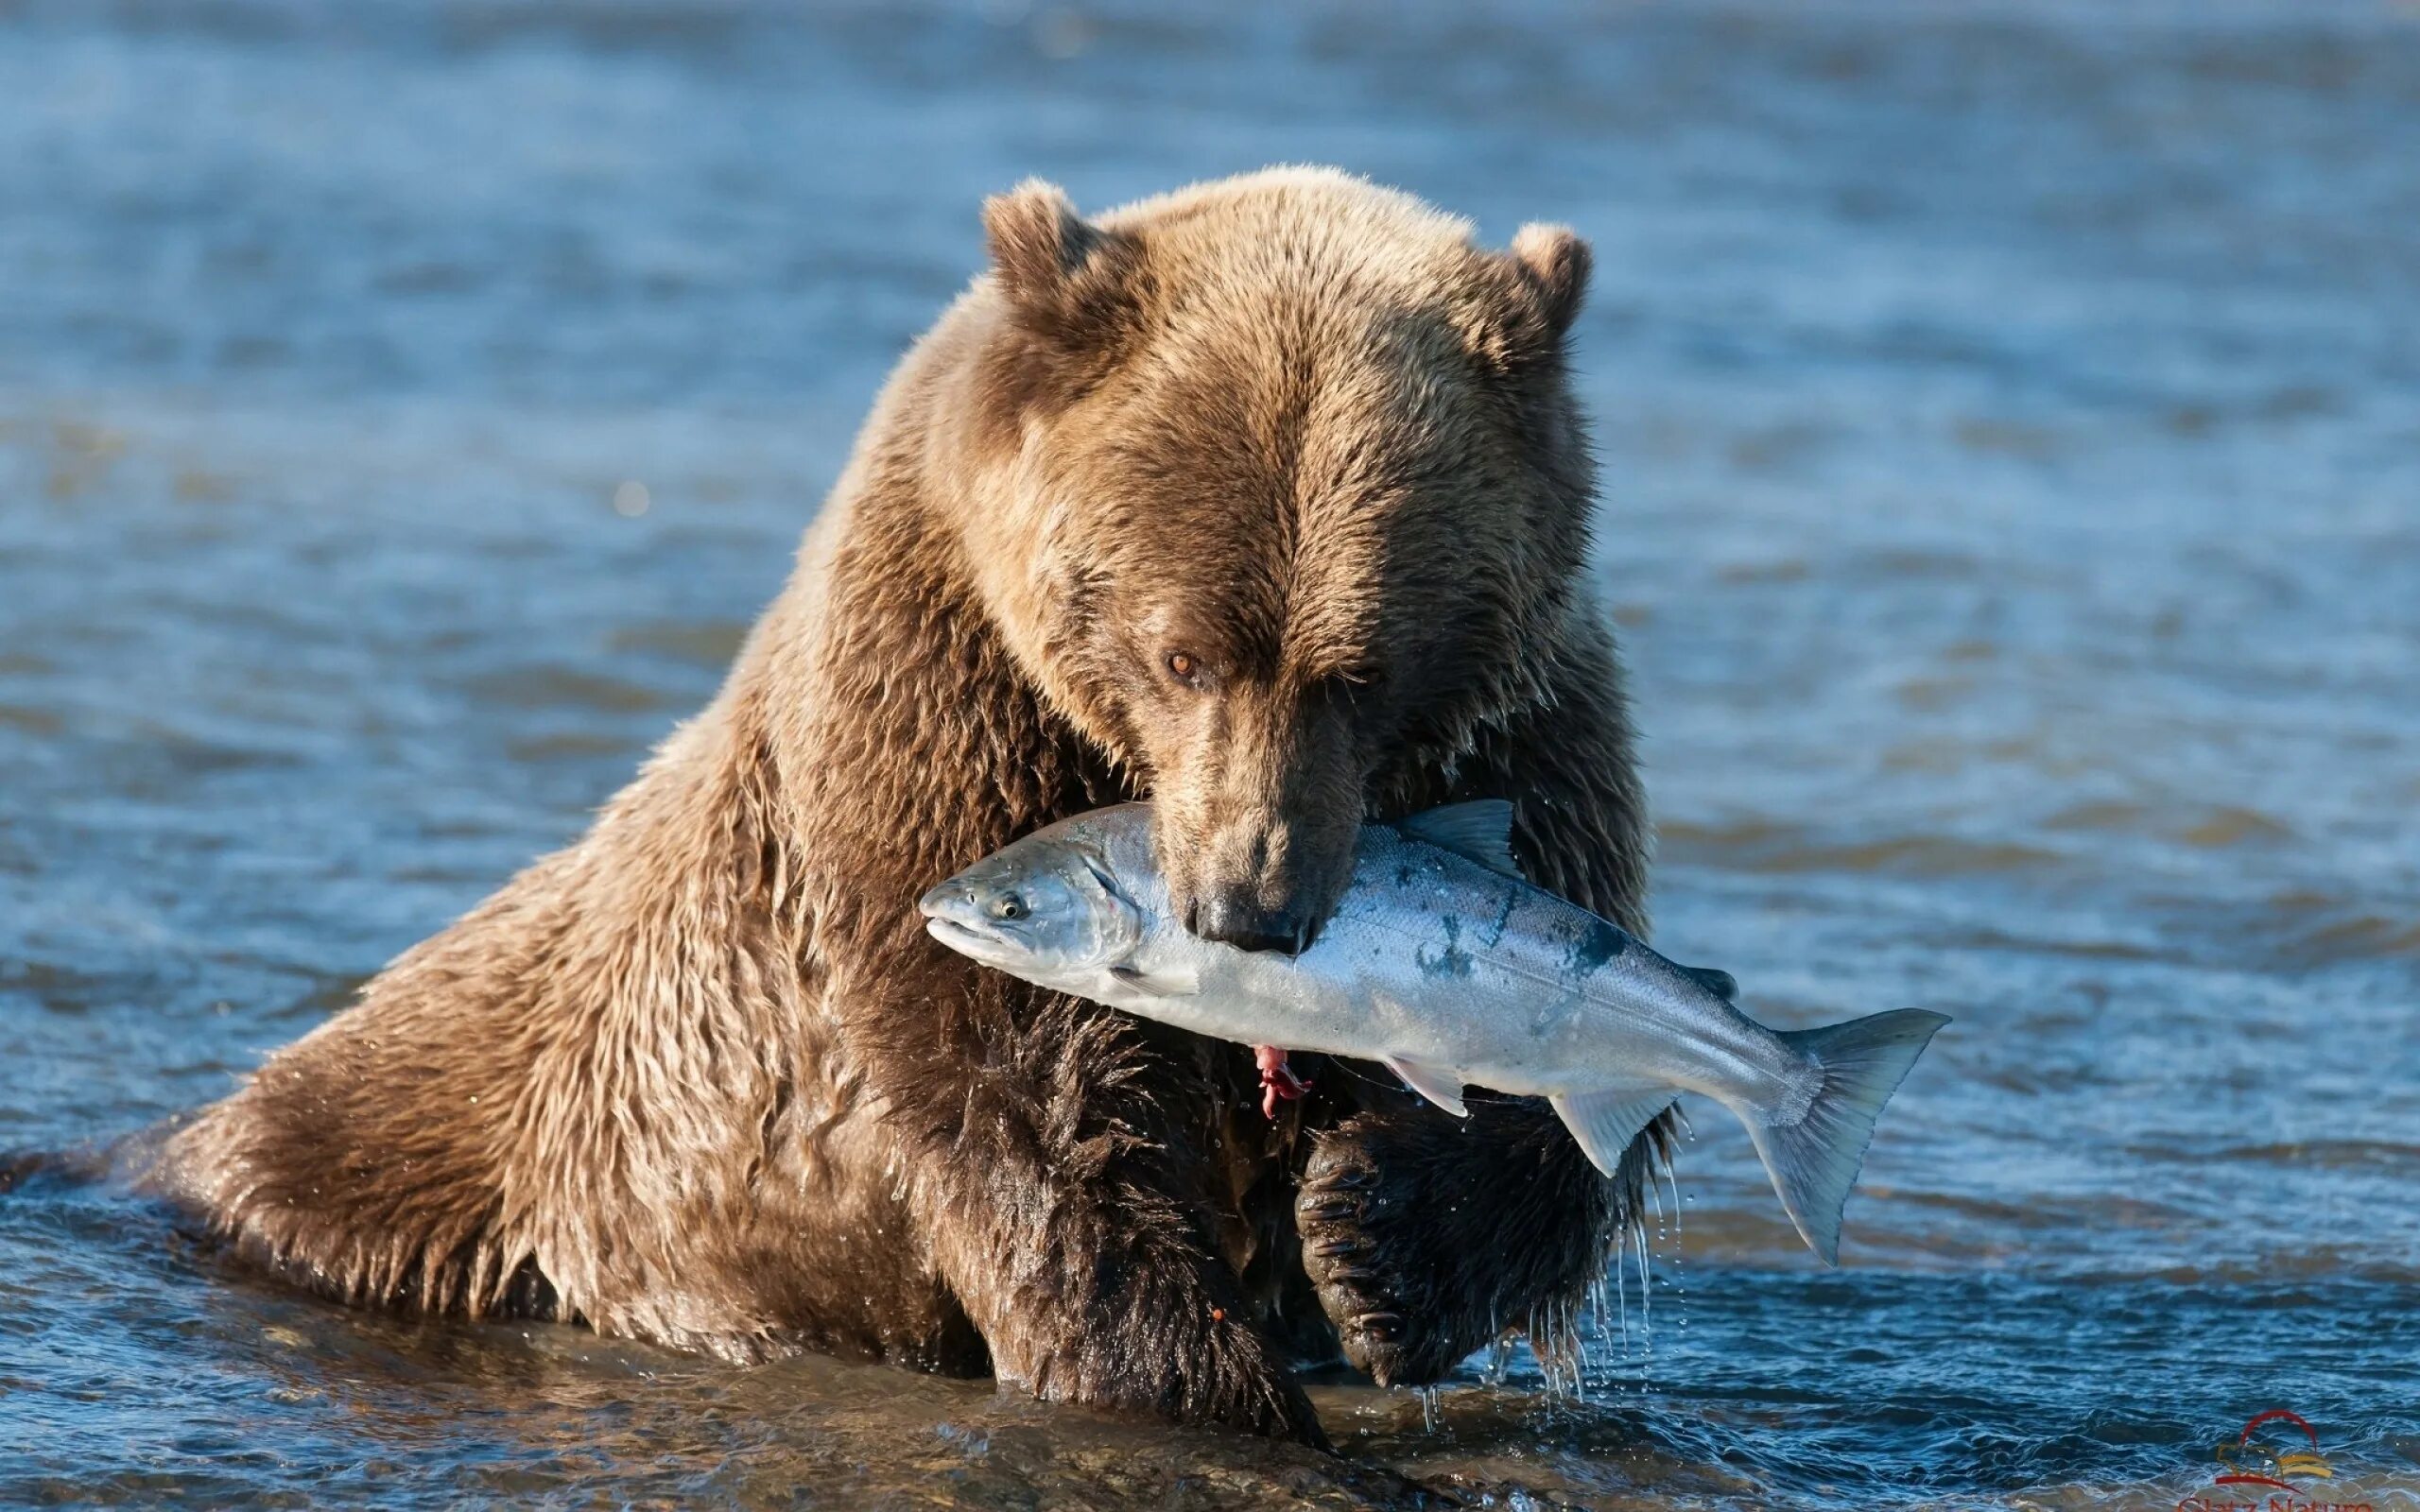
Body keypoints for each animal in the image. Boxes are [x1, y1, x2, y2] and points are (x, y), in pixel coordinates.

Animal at [151, 162, 1655, 1441]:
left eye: (1364, 670)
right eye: (1182, 652)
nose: (1251, 904)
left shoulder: (1523, 740)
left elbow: (1570, 1060)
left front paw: (1373, 1237)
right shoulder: (942, 715)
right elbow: (1026, 1094)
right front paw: (1194, 1378)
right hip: (467, 1135)